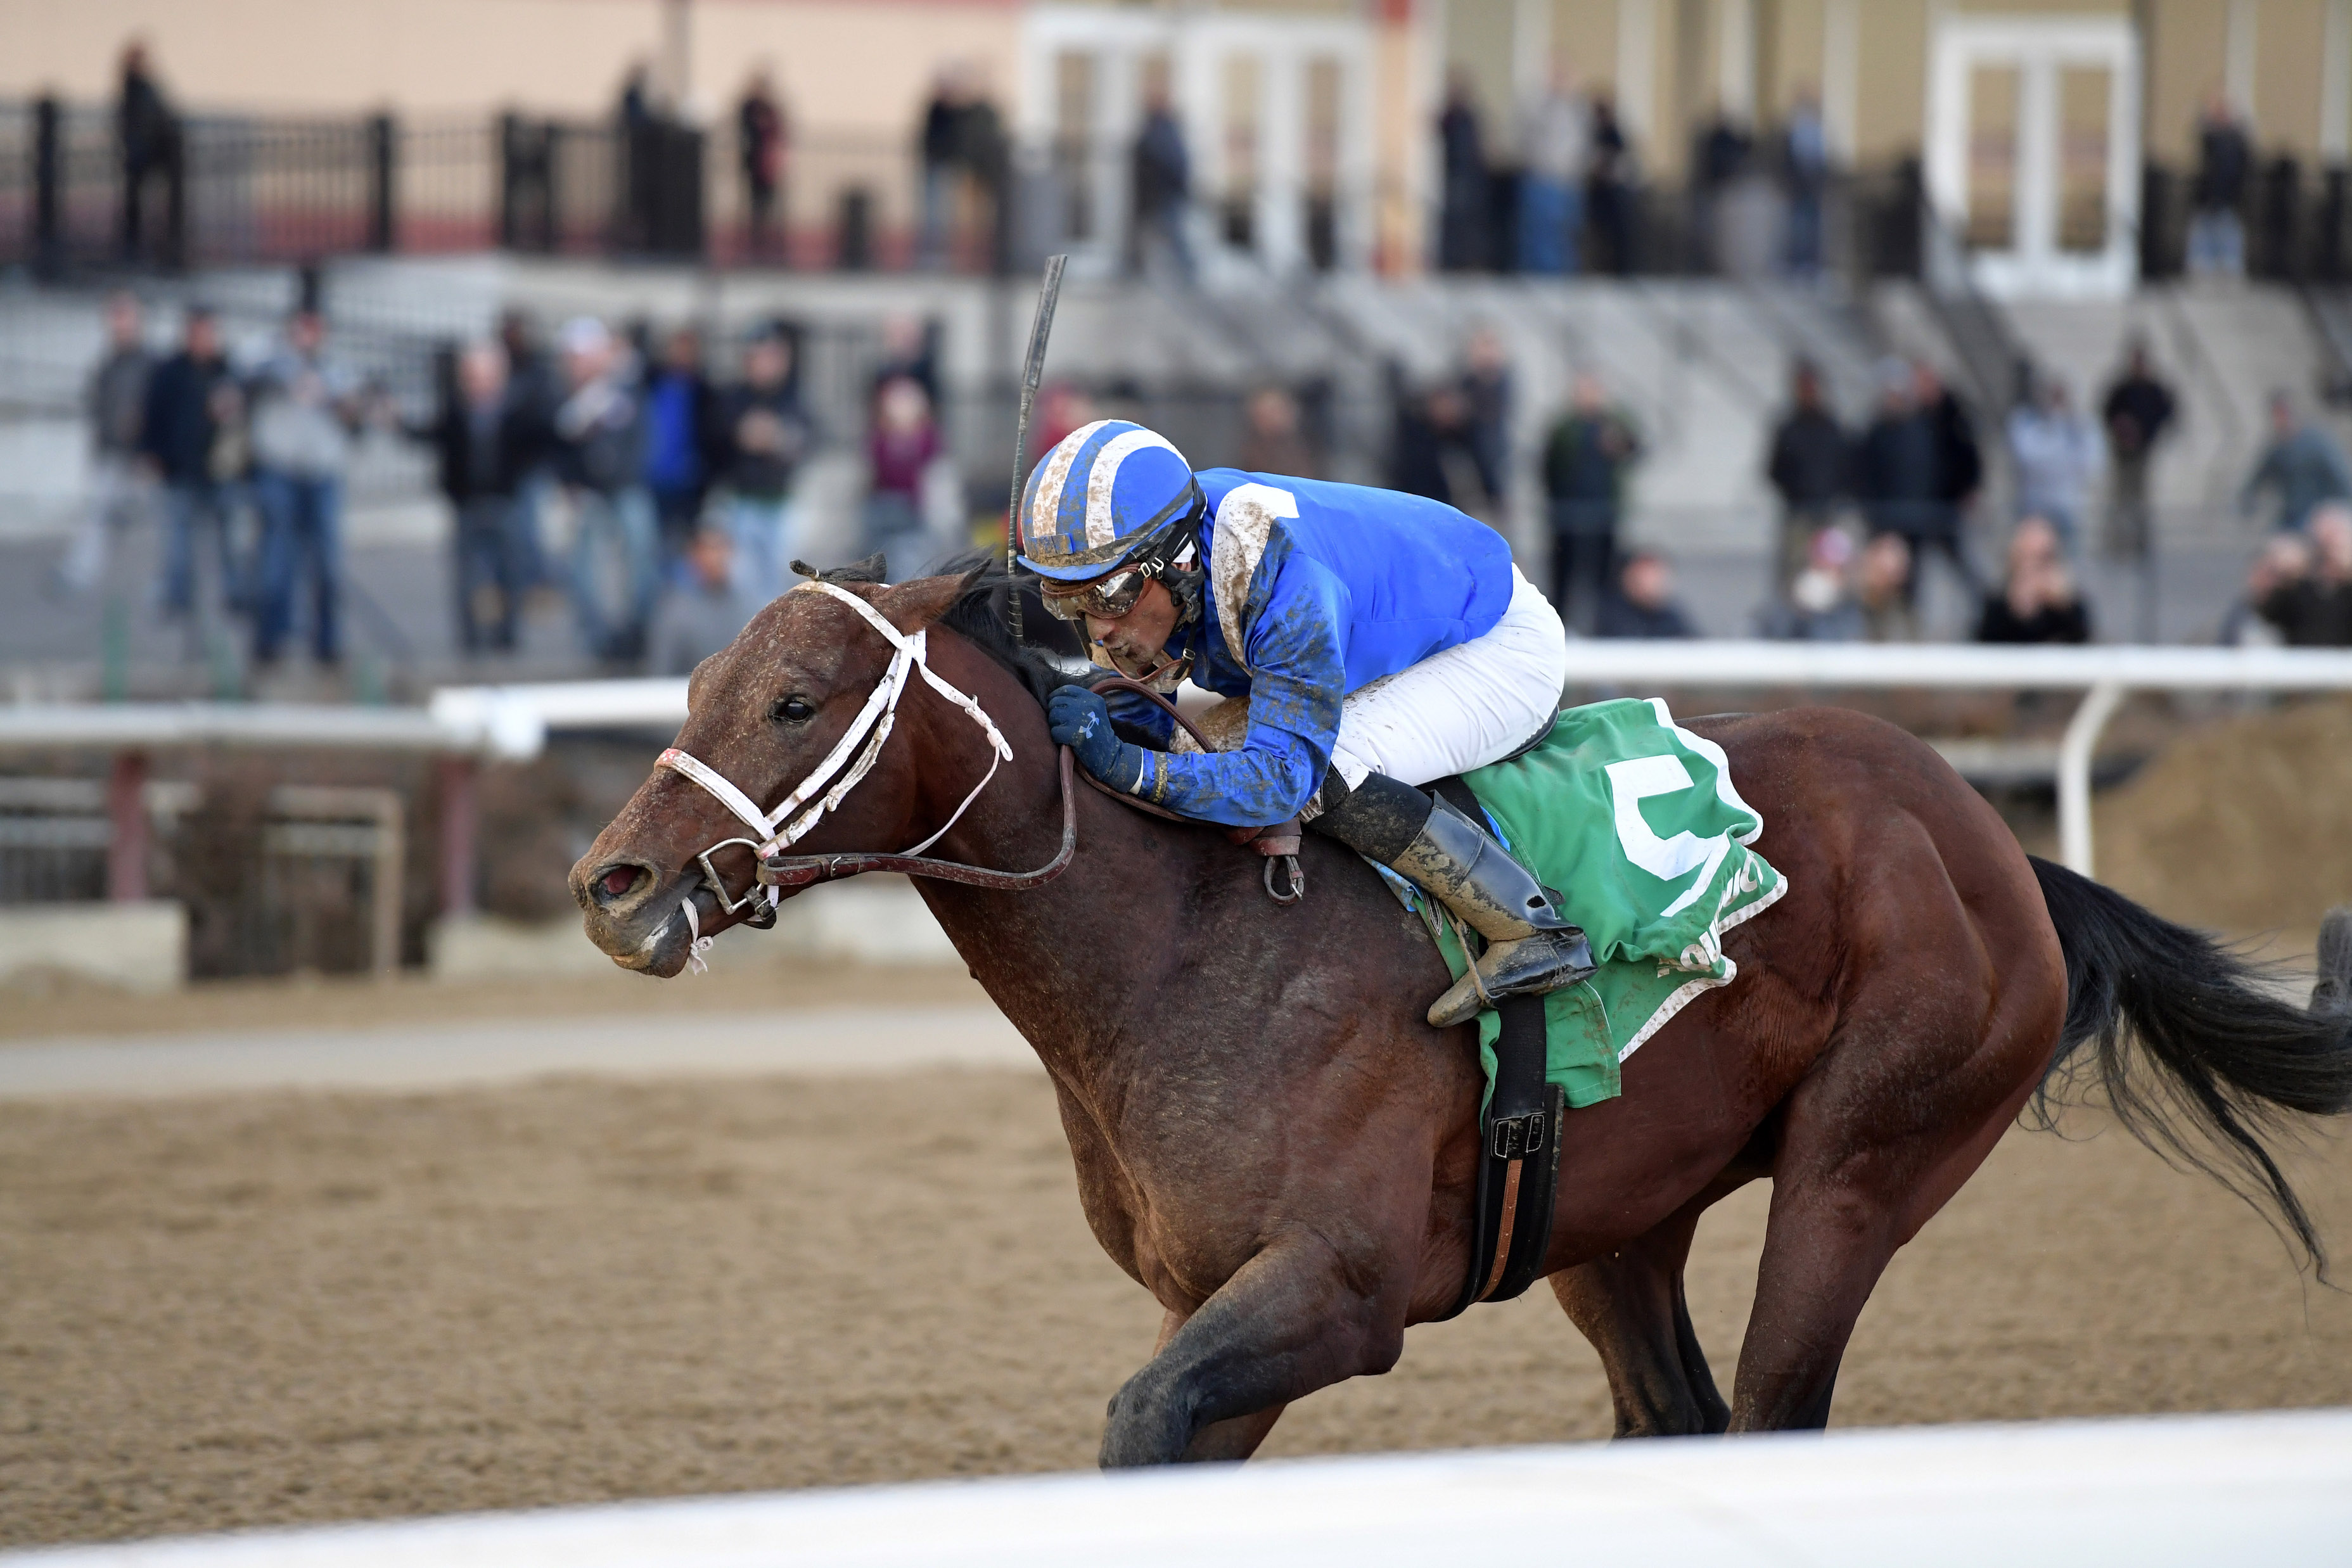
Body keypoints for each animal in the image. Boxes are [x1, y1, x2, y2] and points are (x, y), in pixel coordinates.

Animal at [564, 561, 2352, 1457]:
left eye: (795, 699)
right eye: (698, 684)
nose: (611, 881)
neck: (1185, 945)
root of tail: (1997, 845)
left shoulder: (1336, 1290)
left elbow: (1141, 1412)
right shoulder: (1222, 1304)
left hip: (1864, 1161)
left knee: (1777, 1401)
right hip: (1605, 1216)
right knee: (1675, 1412)